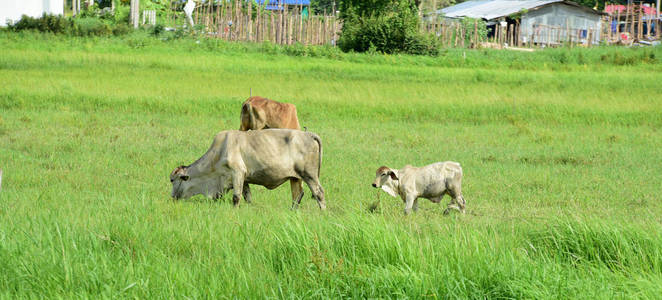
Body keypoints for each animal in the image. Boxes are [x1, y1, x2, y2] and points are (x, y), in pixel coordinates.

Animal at [171, 130, 326, 210]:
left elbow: (236, 197)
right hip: (295, 178)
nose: (172, 197)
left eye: (173, 180)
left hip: (309, 175)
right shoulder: (243, 178)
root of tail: (309, 134)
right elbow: (247, 197)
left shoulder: (237, 172)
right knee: (297, 195)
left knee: (319, 193)